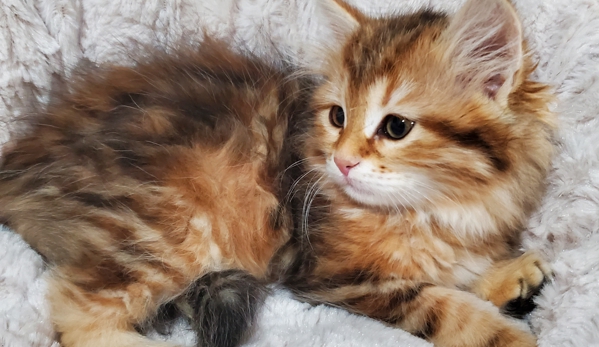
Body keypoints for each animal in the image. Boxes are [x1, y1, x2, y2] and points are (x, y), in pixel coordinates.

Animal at [0, 0, 556, 347]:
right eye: (338, 117)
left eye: (396, 126)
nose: (342, 161)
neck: (432, 208)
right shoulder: (333, 275)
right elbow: (440, 304)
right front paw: (505, 333)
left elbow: (458, 272)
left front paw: (505, 276)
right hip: (162, 226)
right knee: (76, 312)